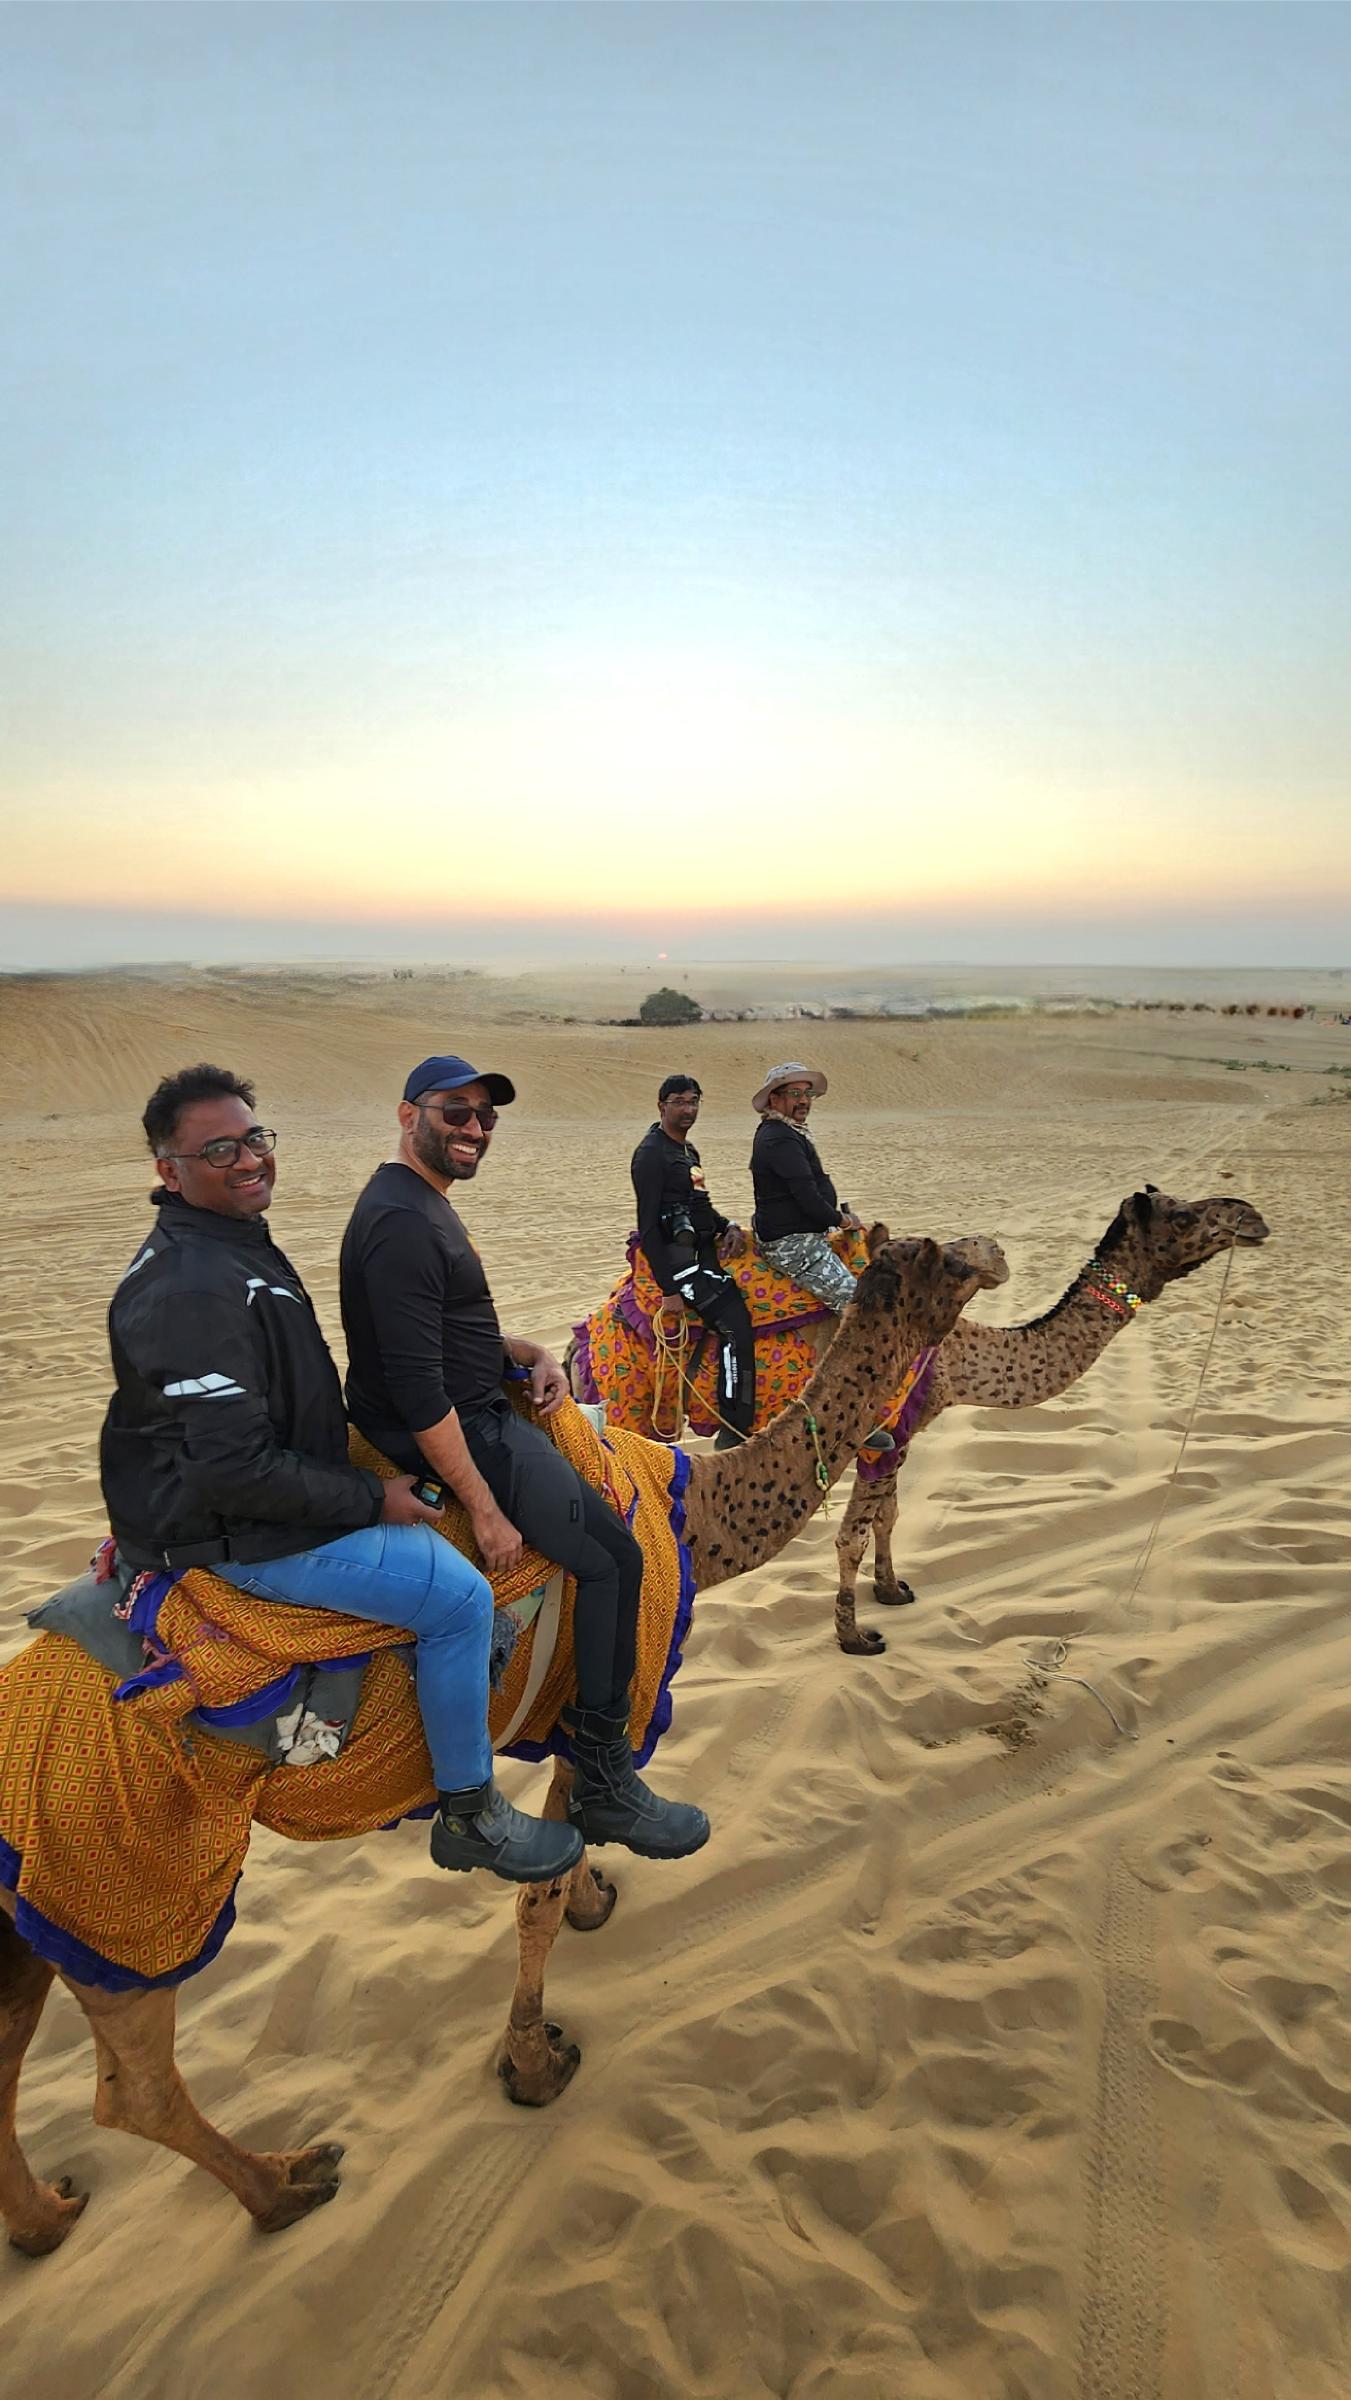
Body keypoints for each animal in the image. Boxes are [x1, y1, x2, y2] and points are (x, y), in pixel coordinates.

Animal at [0, 1235, 993, 2255]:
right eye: (946, 1265)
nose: (991, 1255)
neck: (692, 1509)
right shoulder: (616, 1665)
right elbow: (538, 1896)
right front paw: (533, 2064)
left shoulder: (569, 1704)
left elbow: (570, 1838)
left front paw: (594, 1897)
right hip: (128, 1864)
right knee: (134, 2085)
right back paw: (285, 2185)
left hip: (35, 1891)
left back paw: (48, 2218)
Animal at [832, 1187, 1269, 1653]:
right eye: (1182, 1217)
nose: (1252, 1216)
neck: (959, 1359)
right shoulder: (882, 1434)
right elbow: (852, 1537)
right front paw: (853, 1637)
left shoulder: (903, 1433)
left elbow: (887, 1516)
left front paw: (891, 1590)